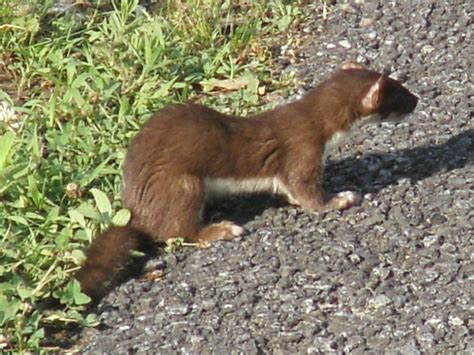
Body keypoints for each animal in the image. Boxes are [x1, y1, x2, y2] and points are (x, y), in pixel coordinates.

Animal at [75, 60, 418, 298]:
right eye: (399, 93)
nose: (417, 100)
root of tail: (133, 206)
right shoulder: (303, 150)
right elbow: (308, 194)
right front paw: (343, 198)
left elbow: (289, 190)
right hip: (183, 183)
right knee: (179, 231)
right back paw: (224, 229)